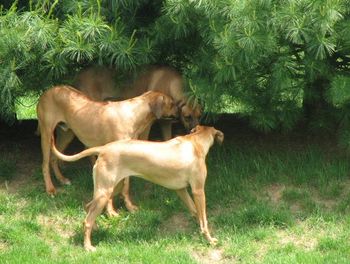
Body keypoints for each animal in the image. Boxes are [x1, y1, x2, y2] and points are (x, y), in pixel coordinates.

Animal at [37, 85, 176, 216]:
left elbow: (126, 186)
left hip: (67, 134)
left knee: (54, 157)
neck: (133, 115)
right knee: (44, 164)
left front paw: (129, 206)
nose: (179, 108)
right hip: (46, 133)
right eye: (171, 103)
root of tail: (48, 91)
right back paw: (50, 188)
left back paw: (62, 179)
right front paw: (110, 212)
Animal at [50, 125, 223, 251]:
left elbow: (195, 212)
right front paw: (209, 239)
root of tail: (103, 148)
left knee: (88, 209)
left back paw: (95, 229)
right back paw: (88, 246)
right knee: (87, 220)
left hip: (112, 189)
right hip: (104, 193)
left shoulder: (181, 190)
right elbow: (204, 220)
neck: (194, 142)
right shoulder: (198, 191)